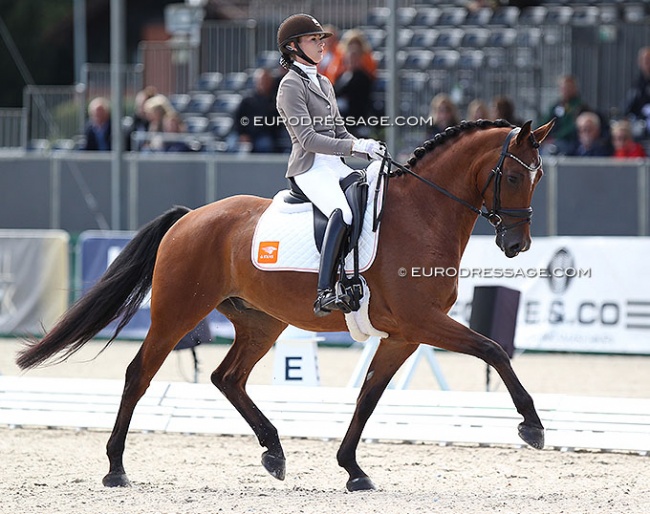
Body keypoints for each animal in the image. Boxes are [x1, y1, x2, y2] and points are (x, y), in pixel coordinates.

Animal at [15, 118, 552, 490]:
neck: (421, 215)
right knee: (138, 375)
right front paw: (532, 426)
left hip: (260, 322)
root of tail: (189, 218)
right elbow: (493, 350)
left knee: (227, 377)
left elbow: (369, 397)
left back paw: (273, 452)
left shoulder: (403, 334)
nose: (516, 244)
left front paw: (353, 470)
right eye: (512, 177)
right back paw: (115, 469)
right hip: (178, 313)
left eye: (539, 177)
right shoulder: (423, 321)